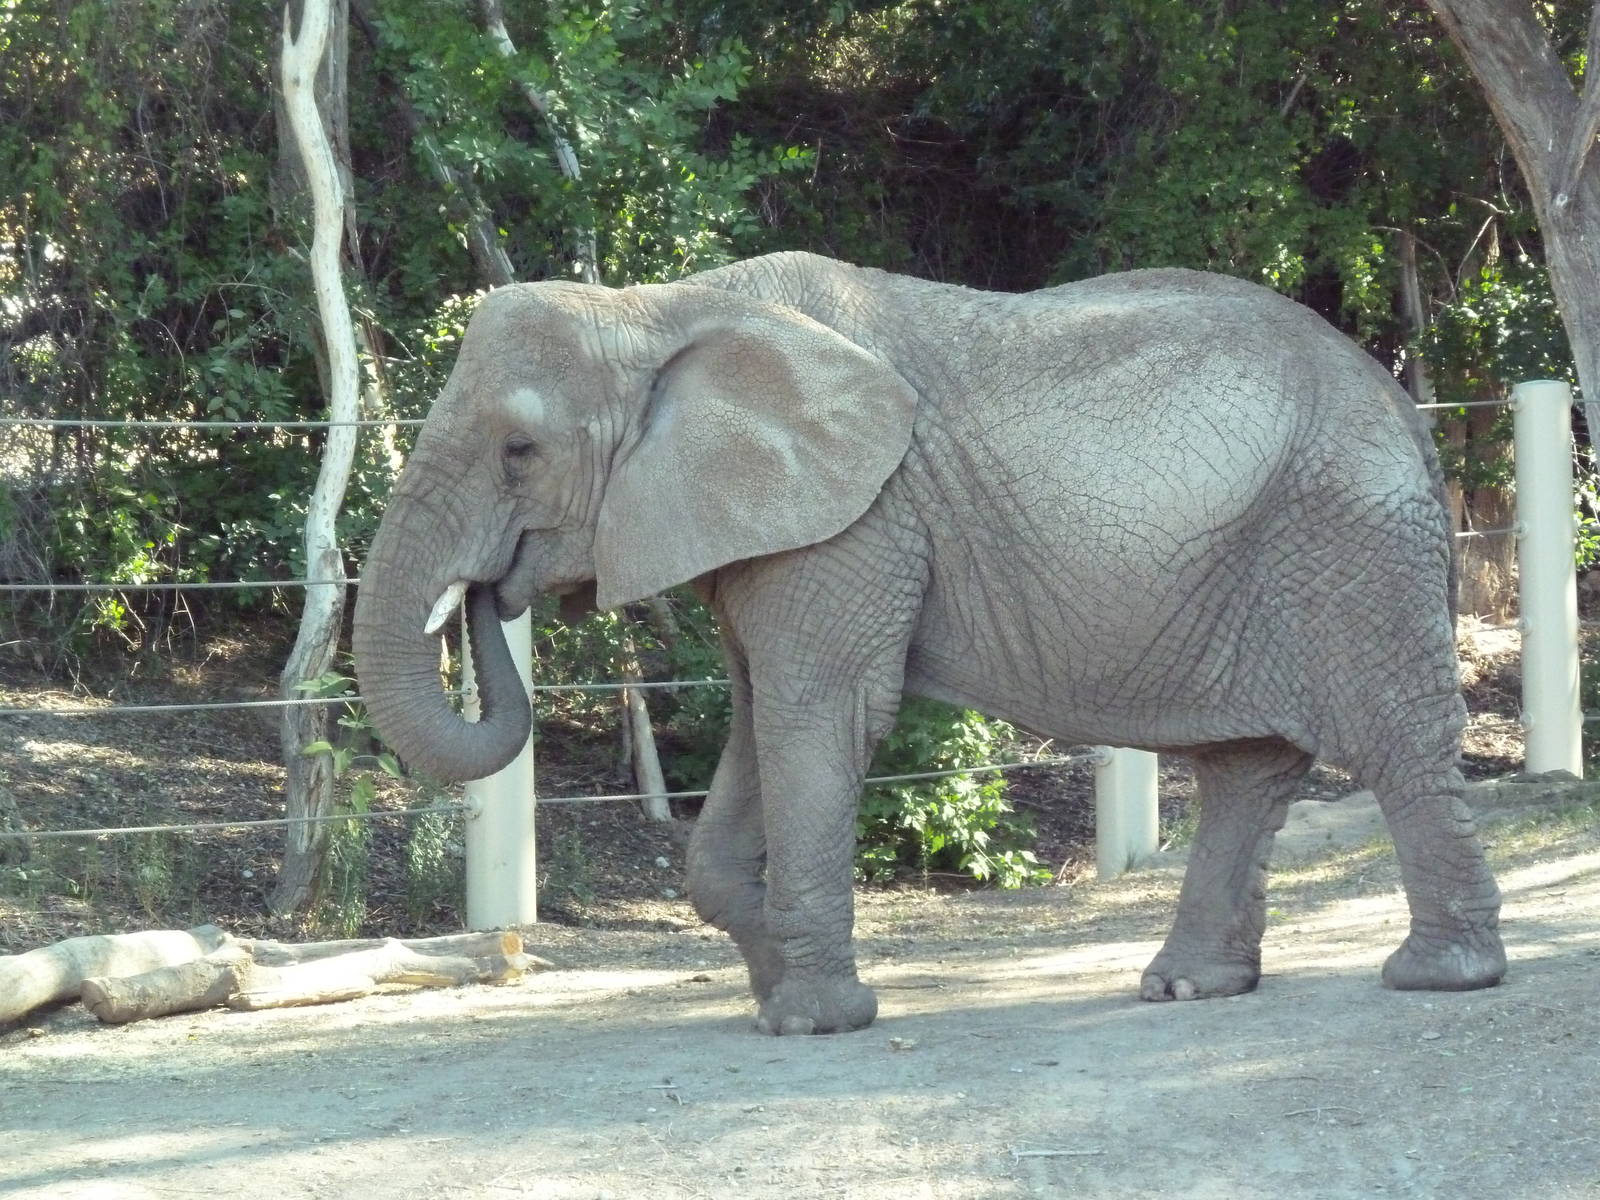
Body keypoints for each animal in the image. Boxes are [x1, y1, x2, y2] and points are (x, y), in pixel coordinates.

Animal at [352, 251, 1506, 1035]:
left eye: (519, 450)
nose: (487, 593)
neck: (662, 307)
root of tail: (1404, 405)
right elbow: (761, 718)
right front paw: (773, 979)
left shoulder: (859, 520)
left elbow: (822, 715)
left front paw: (812, 1019)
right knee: (1244, 767)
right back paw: (1187, 987)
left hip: (1350, 543)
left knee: (1392, 742)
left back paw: (1440, 978)